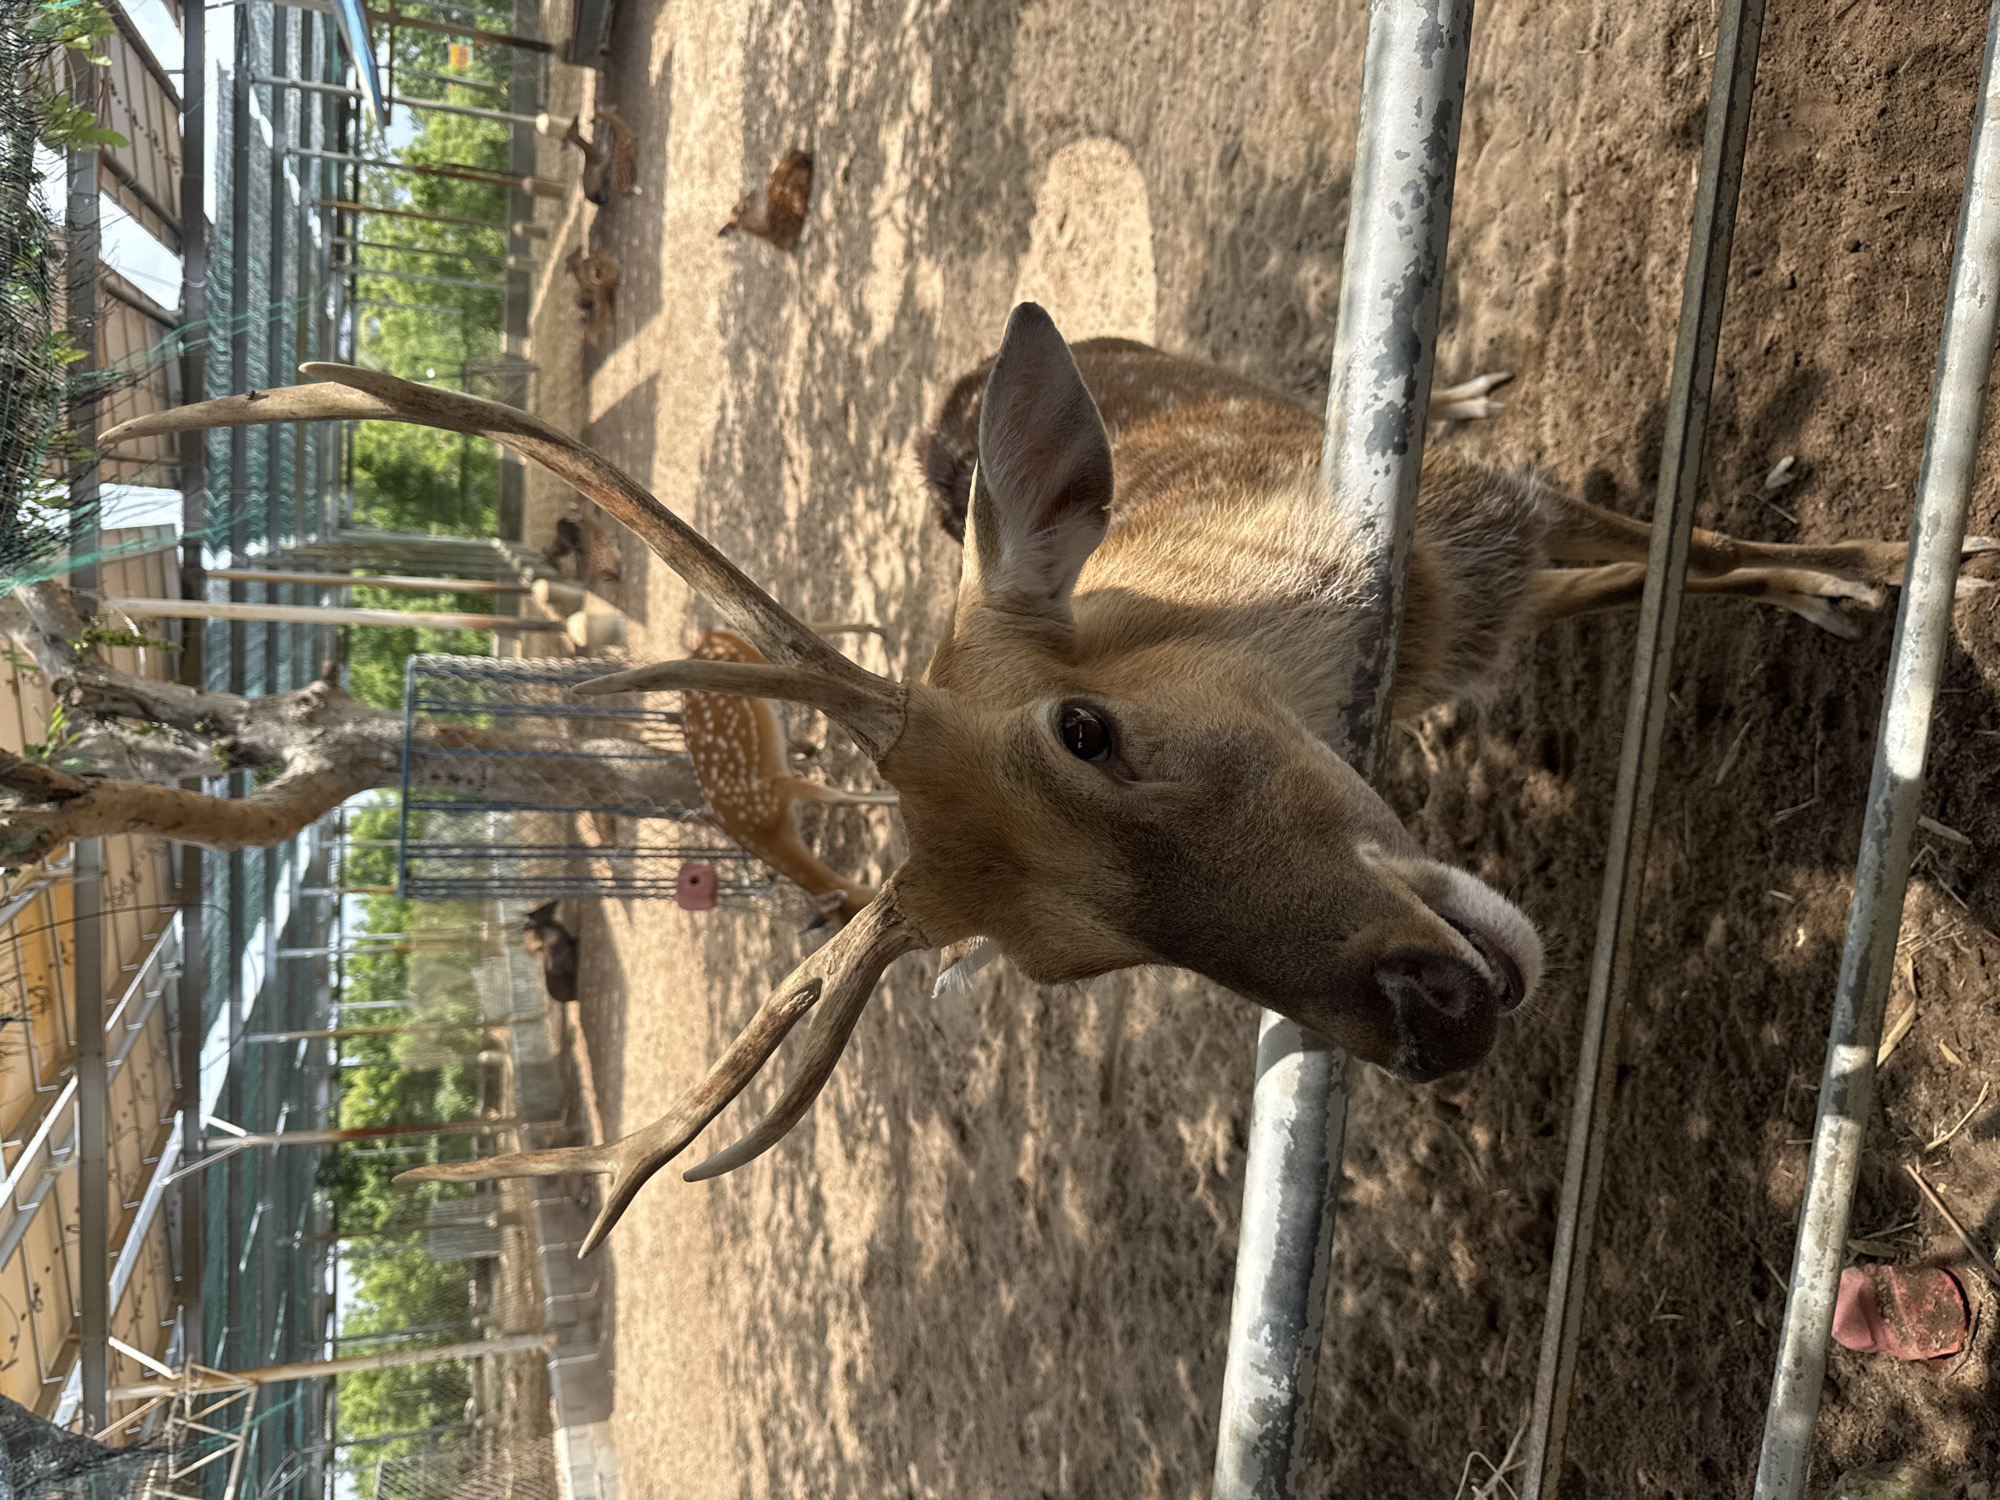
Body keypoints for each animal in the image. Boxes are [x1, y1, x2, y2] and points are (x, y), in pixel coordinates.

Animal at [104, 304, 1993, 1253]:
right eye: (1073, 965)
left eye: (1090, 731)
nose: (1431, 1013)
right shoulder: (1478, 586)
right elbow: (1655, 565)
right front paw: (1878, 586)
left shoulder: (1481, 531)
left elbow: (1680, 540)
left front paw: (1910, 569)